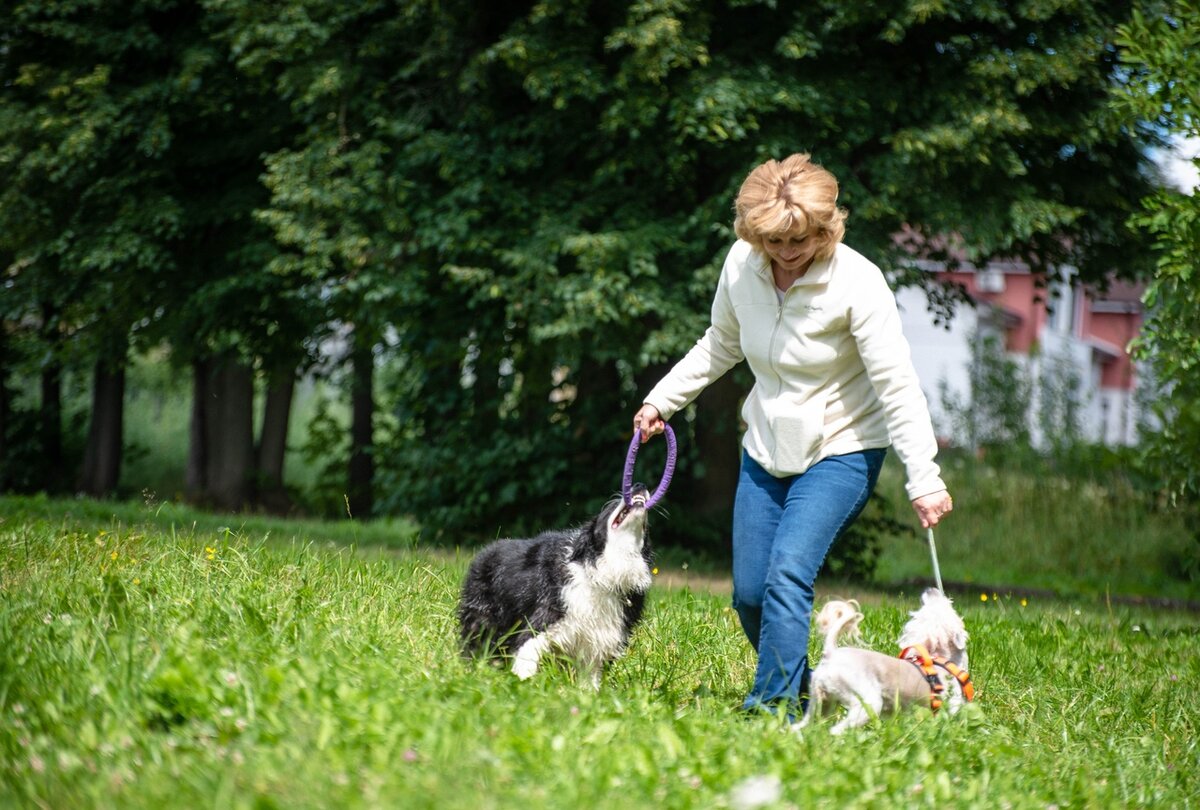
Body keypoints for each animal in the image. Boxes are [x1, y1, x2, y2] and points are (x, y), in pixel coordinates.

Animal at [456, 484, 652, 686]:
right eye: (610, 506)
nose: (640, 485)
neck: (604, 572)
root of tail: (486, 550)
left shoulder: (601, 637)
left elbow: (590, 678)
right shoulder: (548, 614)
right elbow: (527, 649)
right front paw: (522, 681)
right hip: (483, 615)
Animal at [796, 590, 974, 734]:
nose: (930, 590)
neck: (939, 660)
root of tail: (831, 653)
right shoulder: (950, 707)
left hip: (819, 703)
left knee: (802, 726)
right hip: (868, 703)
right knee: (835, 731)